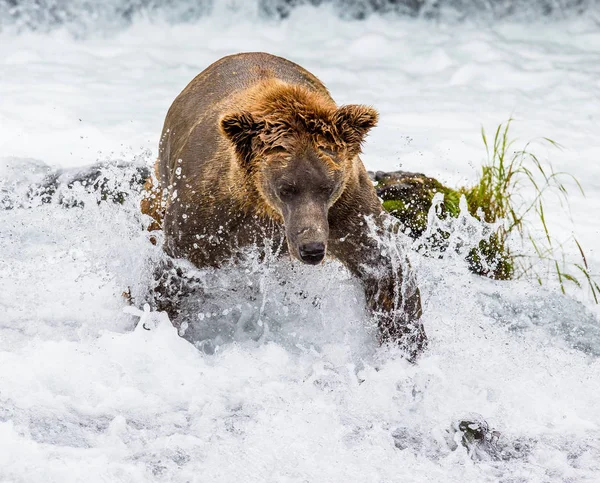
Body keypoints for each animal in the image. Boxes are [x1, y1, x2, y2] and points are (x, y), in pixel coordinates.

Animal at [144, 54, 426, 360]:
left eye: (327, 186)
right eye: (286, 188)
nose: (312, 249)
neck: (265, 210)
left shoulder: (347, 209)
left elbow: (385, 270)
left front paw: (407, 346)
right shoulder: (207, 215)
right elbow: (175, 272)